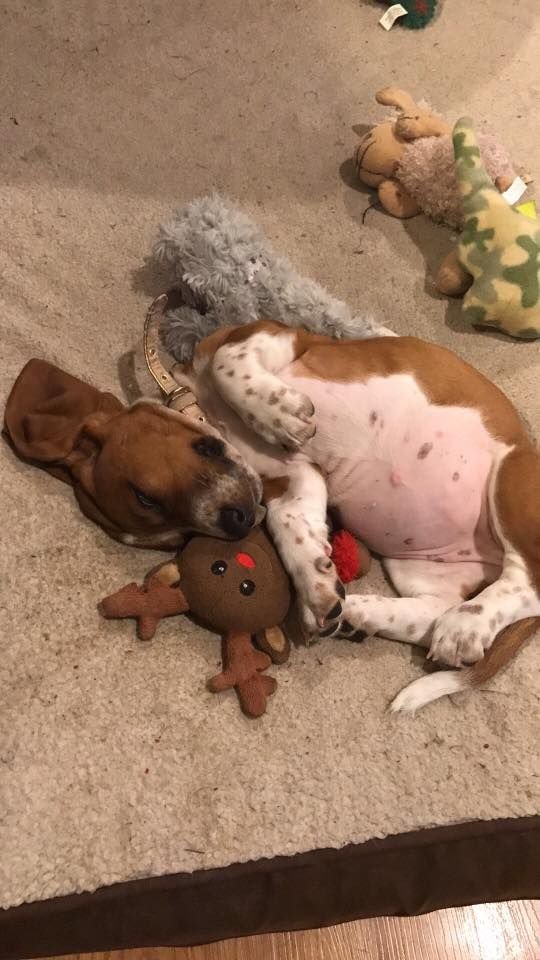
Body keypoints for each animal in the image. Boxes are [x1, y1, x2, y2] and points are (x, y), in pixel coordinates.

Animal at [168, 318, 536, 708]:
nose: (234, 520)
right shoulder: (297, 477)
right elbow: (291, 526)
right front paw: (317, 585)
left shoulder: (277, 336)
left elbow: (228, 361)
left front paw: (278, 415)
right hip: (420, 569)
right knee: (431, 614)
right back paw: (359, 612)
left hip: (509, 478)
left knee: (527, 583)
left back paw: (466, 625)